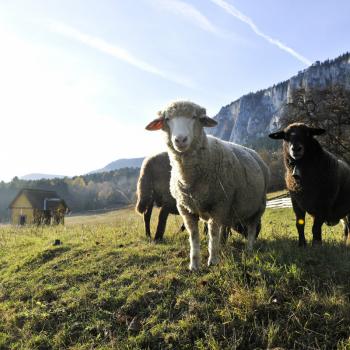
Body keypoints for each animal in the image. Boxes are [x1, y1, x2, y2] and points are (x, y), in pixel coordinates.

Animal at [146, 101, 270, 270]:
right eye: (167, 119)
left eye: (194, 117)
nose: (180, 140)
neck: (189, 179)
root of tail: (255, 154)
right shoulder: (185, 209)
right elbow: (193, 236)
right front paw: (194, 264)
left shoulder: (219, 205)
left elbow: (213, 233)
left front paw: (213, 260)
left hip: (258, 206)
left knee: (251, 228)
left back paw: (249, 249)